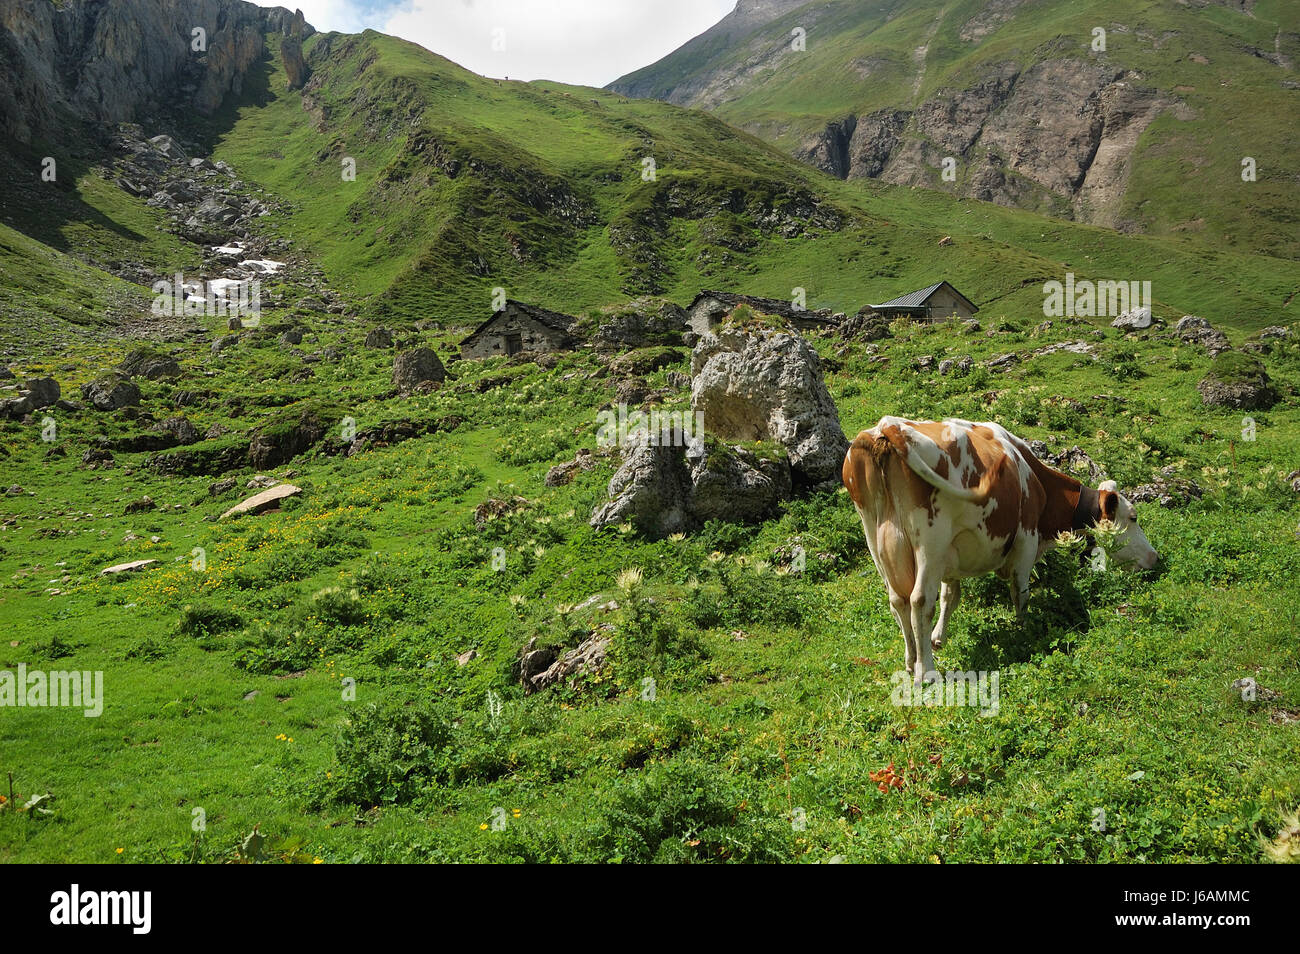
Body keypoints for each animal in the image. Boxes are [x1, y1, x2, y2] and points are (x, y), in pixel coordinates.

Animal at [842, 416, 1158, 685]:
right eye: (1133, 517)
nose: (1155, 557)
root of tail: (888, 426)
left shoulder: (950, 556)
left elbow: (950, 597)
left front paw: (937, 638)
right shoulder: (1026, 541)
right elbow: (1020, 592)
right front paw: (1023, 631)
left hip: (876, 538)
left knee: (898, 600)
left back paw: (910, 661)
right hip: (930, 539)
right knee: (920, 600)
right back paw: (926, 671)